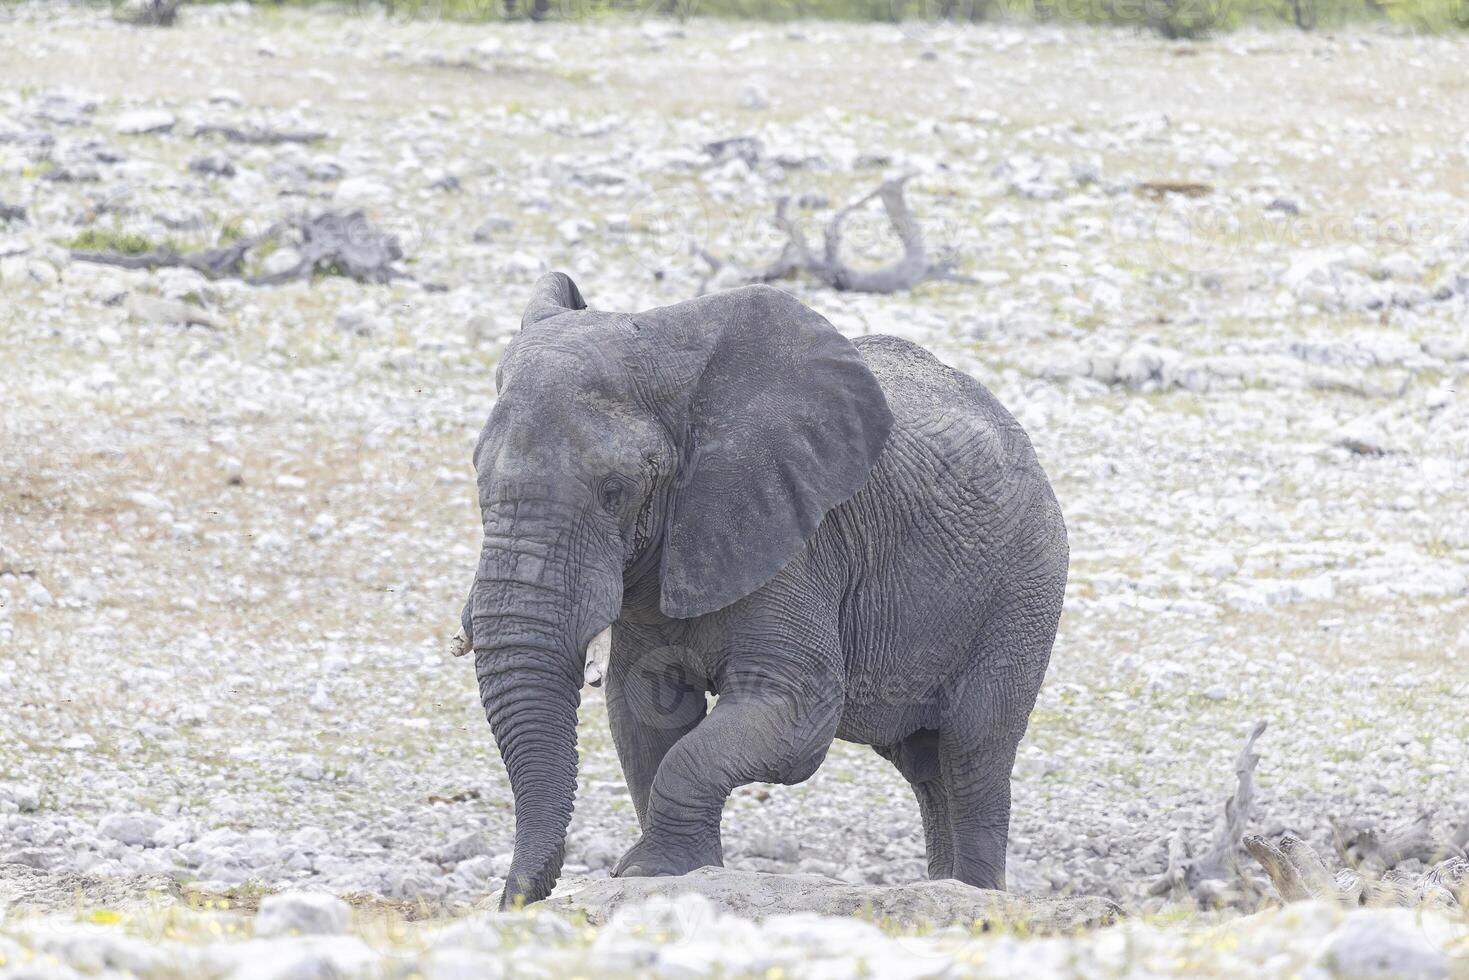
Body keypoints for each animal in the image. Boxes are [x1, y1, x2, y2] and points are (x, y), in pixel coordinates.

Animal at [458, 271, 1069, 910]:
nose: (517, 902)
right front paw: (675, 872)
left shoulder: (798, 533)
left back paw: (977, 894)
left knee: (975, 747)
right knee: (926, 764)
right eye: (478, 478)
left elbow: (797, 712)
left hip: (1025, 585)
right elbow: (644, 710)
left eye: (614, 492)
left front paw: (651, 872)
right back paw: (949, 887)